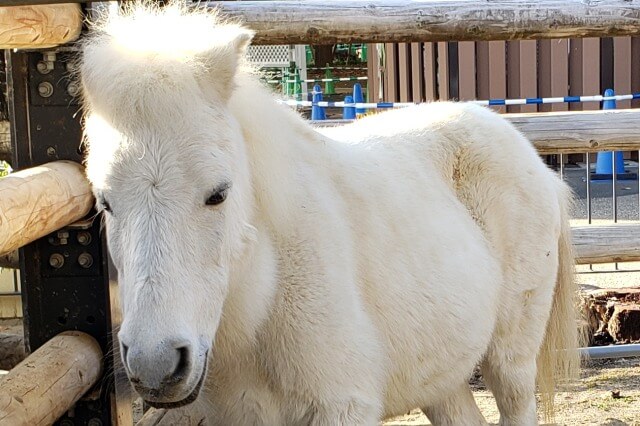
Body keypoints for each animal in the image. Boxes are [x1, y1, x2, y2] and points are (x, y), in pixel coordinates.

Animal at [79, 4, 580, 426]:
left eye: (218, 194)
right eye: (105, 202)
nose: (156, 363)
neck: (267, 293)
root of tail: (532, 159)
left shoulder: (342, 407)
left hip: (511, 361)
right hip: (443, 376)